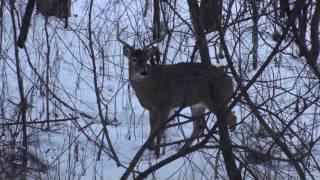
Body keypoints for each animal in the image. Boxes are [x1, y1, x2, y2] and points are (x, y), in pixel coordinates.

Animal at [116, 26, 236, 157]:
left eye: (147, 59)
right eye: (134, 59)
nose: (144, 72)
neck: (150, 88)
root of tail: (231, 82)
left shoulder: (165, 104)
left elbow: (159, 130)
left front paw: (157, 154)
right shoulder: (152, 108)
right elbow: (152, 128)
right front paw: (150, 149)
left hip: (217, 99)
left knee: (231, 118)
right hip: (198, 104)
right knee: (199, 127)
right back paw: (182, 151)